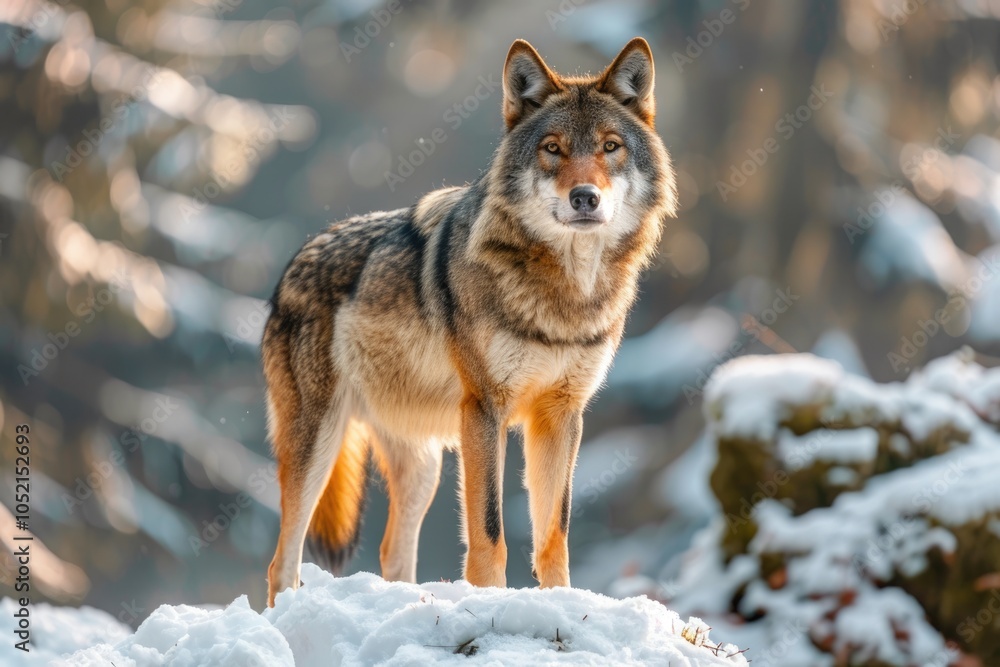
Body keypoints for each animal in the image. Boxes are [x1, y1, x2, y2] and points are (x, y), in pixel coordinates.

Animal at [265, 37, 677, 606]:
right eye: (553, 148)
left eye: (610, 147)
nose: (585, 198)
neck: (564, 295)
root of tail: (295, 261)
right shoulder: (485, 409)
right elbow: (489, 530)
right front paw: (490, 601)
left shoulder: (561, 415)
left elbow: (554, 533)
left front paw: (560, 602)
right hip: (319, 445)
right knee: (281, 561)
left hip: (423, 467)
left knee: (392, 552)